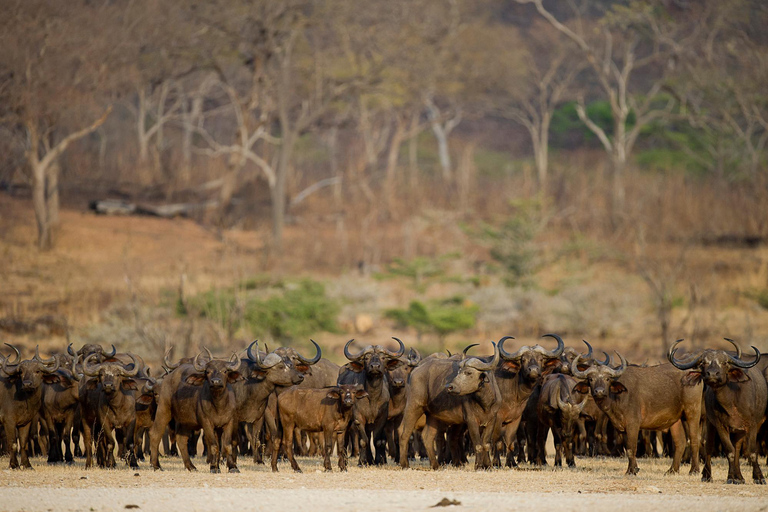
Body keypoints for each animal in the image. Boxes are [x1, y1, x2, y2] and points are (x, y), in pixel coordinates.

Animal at [400, 342, 500, 470]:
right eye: (459, 371)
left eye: (468, 372)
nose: (450, 387)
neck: (484, 403)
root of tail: (415, 370)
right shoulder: (471, 420)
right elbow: (478, 444)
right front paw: (478, 465)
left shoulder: (492, 420)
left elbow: (486, 444)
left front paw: (488, 466)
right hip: (413, 407)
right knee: (405, 433)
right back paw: (405, 464)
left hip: (432, 415)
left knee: (427, 437)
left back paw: (435, 465)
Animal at [568, 352, 704, 476]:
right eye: (591, 379)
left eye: (607, 379)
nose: (599, 391)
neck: (616, 397)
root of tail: (694, 375)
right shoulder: (622, 428)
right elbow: (628, 448)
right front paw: (634, 468)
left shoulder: (633, 424)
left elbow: (632, 447)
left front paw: (631, 471)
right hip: (676, 420)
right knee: (680, 442)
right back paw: (672, 470)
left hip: (692, 413)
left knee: (694, 439)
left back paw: (694, 470)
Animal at [668, 340, 764, 484]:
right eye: (703, 363)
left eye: (724, 363)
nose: (712, 374)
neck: (732, 401)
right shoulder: (720, 426)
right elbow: (729, 452)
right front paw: (731, 477)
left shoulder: (752, 425)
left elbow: (751, 452)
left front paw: (759, 477)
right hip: (710, 424)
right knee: (709, 446)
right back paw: (708, 475)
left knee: (737, 448)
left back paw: (740, 477)